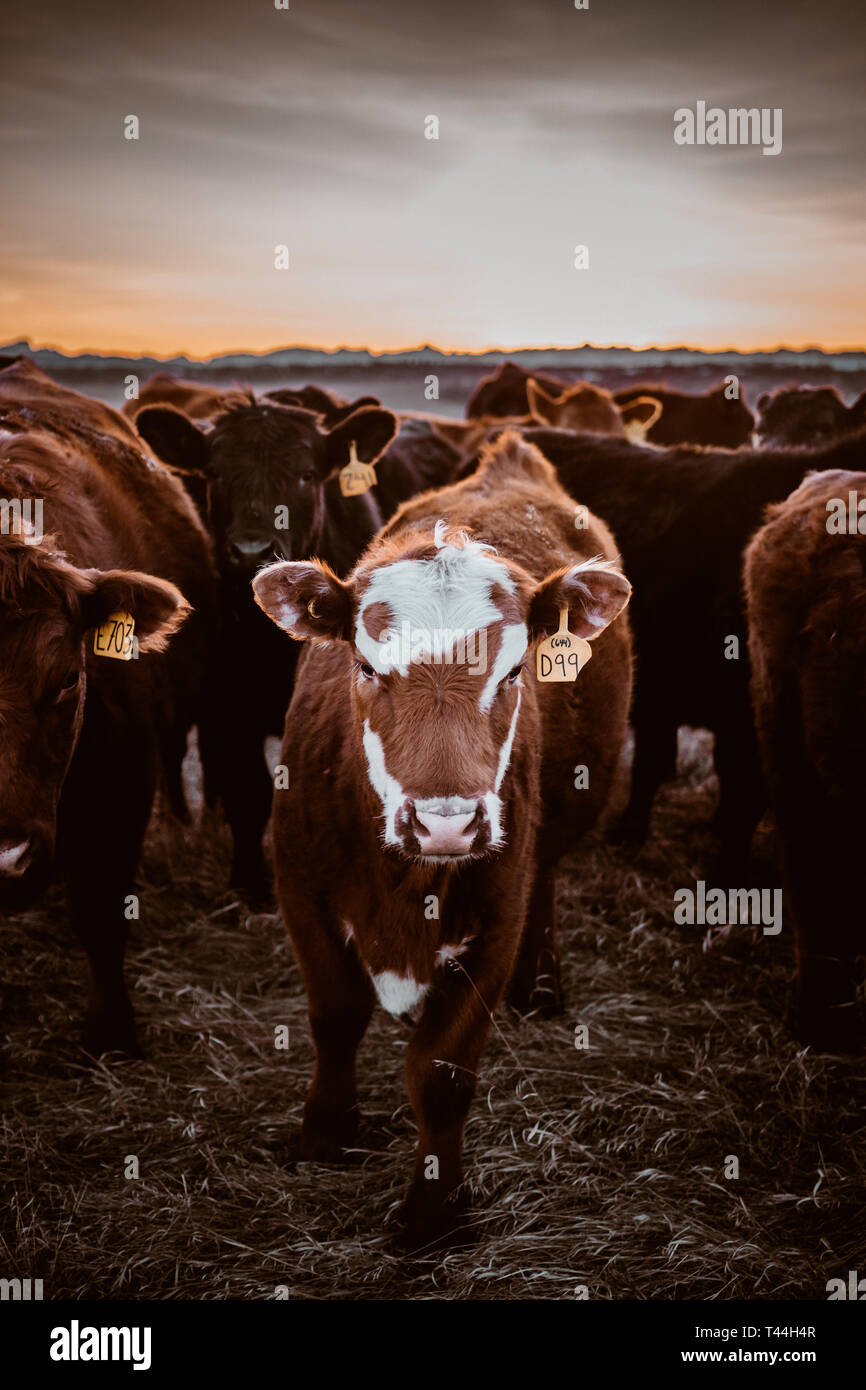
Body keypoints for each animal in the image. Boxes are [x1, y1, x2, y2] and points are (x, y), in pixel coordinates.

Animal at [250, 433, 631, 1251]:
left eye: (516, 672)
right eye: (365, 665)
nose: (447, 822)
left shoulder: (495, 920)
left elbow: (443, 1070)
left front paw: (433, 1211)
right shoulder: (300, 889)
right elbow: (335, 1017)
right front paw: (326, 1131)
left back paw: (542, 986)